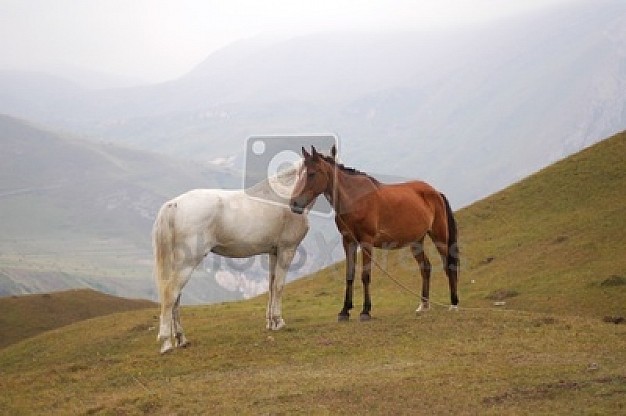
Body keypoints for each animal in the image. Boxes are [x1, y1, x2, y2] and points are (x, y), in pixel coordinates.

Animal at [152, 164, 308, 352]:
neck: (285, 195)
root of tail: (174, 205)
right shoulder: (287, 250)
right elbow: (279, 286)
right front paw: (279, 322)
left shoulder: (274, 252)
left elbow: (271, 286)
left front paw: (271, 323)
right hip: (186, 264)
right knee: (171, 294)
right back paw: (166, 343)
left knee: (176, 297)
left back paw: (181, 339)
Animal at [288, 146, 458, 322]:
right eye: (299, 174)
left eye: (311, 173)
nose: (294, 203)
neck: (355, 199)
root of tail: (436, 192)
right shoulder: (348, 241)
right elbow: (350, 275)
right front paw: (344, 311)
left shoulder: (366, 242)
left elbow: (365, 275)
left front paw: (365, 311)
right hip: (416, 242)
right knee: (425, 268)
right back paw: (423, 306)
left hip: (440, 237)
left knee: (449, 265)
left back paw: (453, 304)